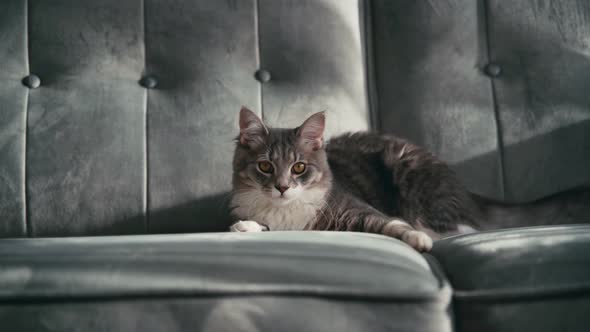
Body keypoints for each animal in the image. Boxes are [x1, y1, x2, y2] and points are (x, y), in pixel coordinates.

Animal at [230, 107, 590, 252]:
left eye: (299, 168)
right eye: (265, 166)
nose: (282, 187)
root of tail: (467, 193)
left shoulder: (356, 209)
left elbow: (392, 224)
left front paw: (417, 239)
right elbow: (259, 224)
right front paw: (244, 227)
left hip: (410, 174)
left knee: (461, 229)